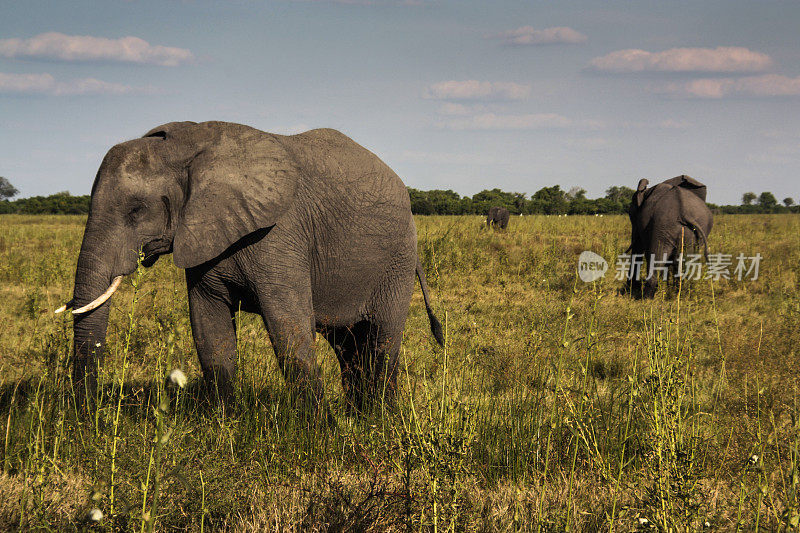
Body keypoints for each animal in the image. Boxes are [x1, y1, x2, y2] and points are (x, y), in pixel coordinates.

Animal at [57, 121, 444, 416]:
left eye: (136, 211)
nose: (88, 416)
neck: (189, 149)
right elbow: (209, 329)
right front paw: (223, 424)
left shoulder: (280, 234)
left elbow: (288, 328)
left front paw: (318, 433)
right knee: (348, 347)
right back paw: (358, 416)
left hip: (397, 260)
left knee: (382, 341)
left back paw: (379, 421)